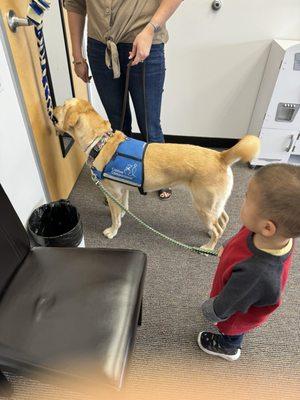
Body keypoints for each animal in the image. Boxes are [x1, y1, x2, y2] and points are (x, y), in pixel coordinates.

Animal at [54, 99, 260, 250]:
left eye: (63, 105)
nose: (52, 108)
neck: (100, 142)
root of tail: (221, 156)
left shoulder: (113, 193)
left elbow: (114, 216)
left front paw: (112, 230)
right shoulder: (122, 191)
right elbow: (123, 207)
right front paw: (123, 215)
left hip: (203, 205)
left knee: (218, 227)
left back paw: (209, 246)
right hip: (214, 204)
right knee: (224, 219)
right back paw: (211, 235)